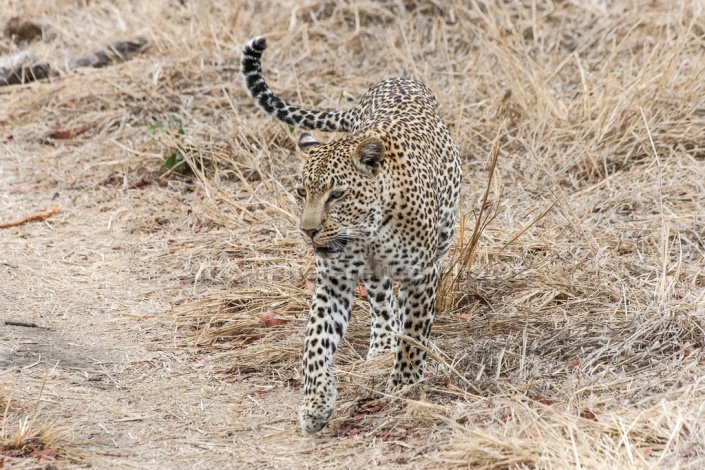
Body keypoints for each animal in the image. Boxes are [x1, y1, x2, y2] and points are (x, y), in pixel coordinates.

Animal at [241, 36, 462, 434]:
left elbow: (414, 334)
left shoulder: (421, 275)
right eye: (302, 192)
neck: (369, 229)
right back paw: (381, 346)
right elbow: (314, 342)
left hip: (444, 231)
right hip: (373, 277)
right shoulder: (335, 280)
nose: (308, 231)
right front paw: (316, 402)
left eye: (337, 195)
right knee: (382, 304)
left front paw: (404, 384)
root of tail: (395, 78)